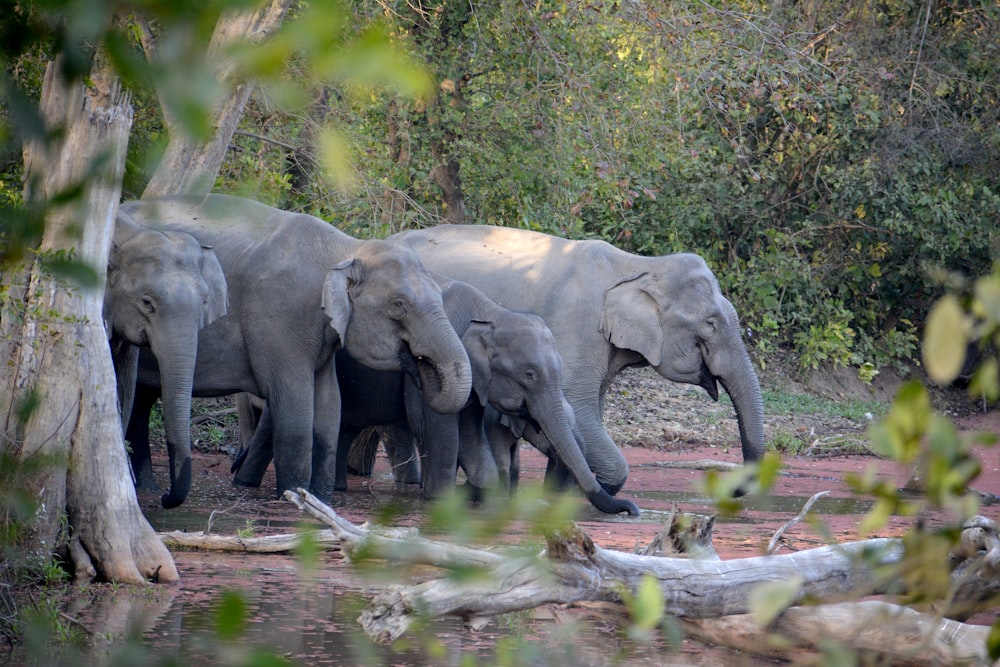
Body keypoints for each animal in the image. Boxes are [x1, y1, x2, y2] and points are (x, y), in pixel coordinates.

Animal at [118, 193, 472, 500]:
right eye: (399, 305)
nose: (421, 365)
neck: (345, 249)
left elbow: (329, 408)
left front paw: (322, 499)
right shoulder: (280, 317)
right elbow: (296, 410)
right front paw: (295, 496)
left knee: (141, 401)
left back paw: (148, 488)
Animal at [231, 276, 640, 516]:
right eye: (529, 375)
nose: (633, 510)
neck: (492, 312)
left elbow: (473, 436)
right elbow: (442, 432)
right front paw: (441, 500)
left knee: (343, 428)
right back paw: (246, 484)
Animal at [390, 224, 764, 496]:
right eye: (710, 325)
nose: (733, 491)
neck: (641, 266)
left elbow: (589, 409)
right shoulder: (577, 326)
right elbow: (580, 410)